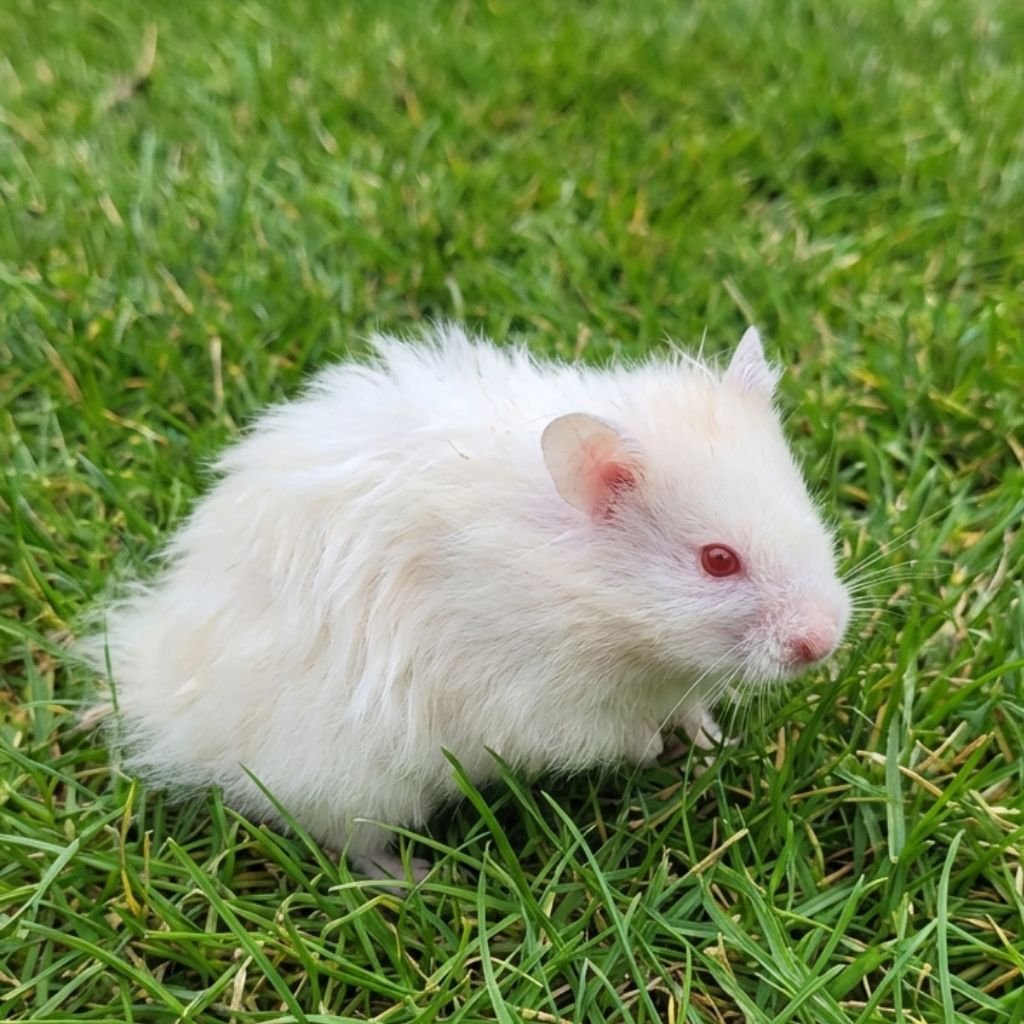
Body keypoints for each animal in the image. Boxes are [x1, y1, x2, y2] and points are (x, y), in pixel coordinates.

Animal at [84, 323, 850, 881]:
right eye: (718, 561)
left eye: (806, 509)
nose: (823, 644)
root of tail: (167, 704)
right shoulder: (531, 700)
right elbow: (606, 734)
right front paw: (652, 749)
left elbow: (690, 708)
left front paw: (713, 743)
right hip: (352, 776)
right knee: (344, 840)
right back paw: (420, 877)